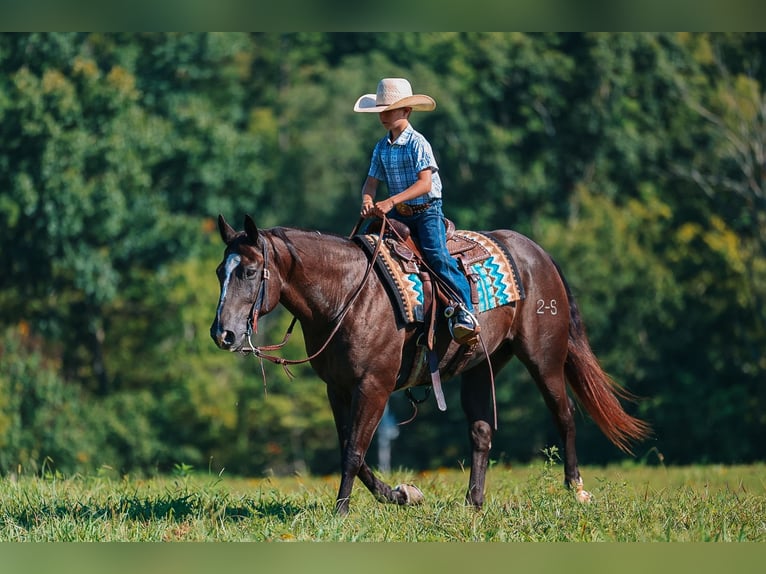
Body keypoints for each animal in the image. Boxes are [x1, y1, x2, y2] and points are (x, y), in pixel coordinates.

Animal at [210, 214, 650, 514]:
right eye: (219, 271)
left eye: (250, 271)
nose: (223, 333)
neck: (349, 294)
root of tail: (538, 254)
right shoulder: (338, 388)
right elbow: (352, 450)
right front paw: (403, 494)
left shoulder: (374, 386)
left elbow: (353, 450)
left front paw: (341, 512)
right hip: (482, 365)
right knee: (481, 430)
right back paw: (473, 502)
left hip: (544, 359)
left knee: (565, 416)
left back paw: (576, 490)